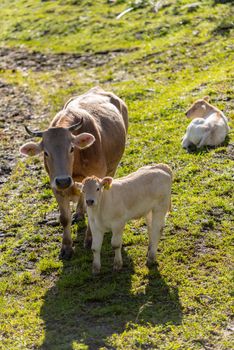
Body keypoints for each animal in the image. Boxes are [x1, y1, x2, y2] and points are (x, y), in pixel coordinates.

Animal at [20, 86, 128, 258]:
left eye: (71, 148)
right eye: (46, 153)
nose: (63, 180)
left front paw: (90, 240)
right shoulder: (55, 185)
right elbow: (64, 218)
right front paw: (66, 248)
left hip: (113, 167)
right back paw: (78, 212)